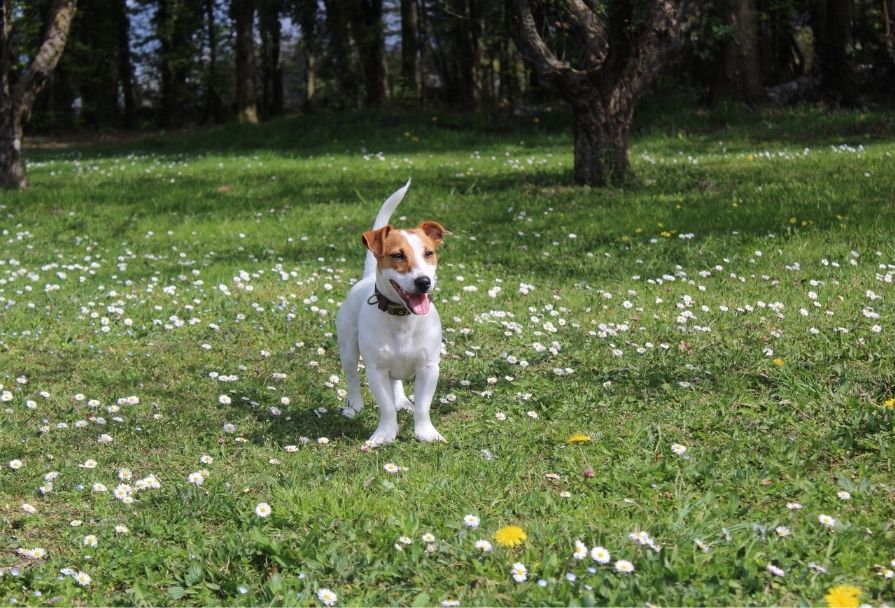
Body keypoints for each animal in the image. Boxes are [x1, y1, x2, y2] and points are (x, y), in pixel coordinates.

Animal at [334, 180, 448, 446]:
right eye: (398, 255)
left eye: (429, 253)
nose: (424, 282)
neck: (402, 318)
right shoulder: (375, 370)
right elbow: (385, 407)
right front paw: (385, 434)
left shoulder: (429, 368)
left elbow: (423, 406)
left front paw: (426, 433)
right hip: (348, 348)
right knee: (352, 378)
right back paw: (354, 406)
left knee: (396, 382)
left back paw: (402, 401)